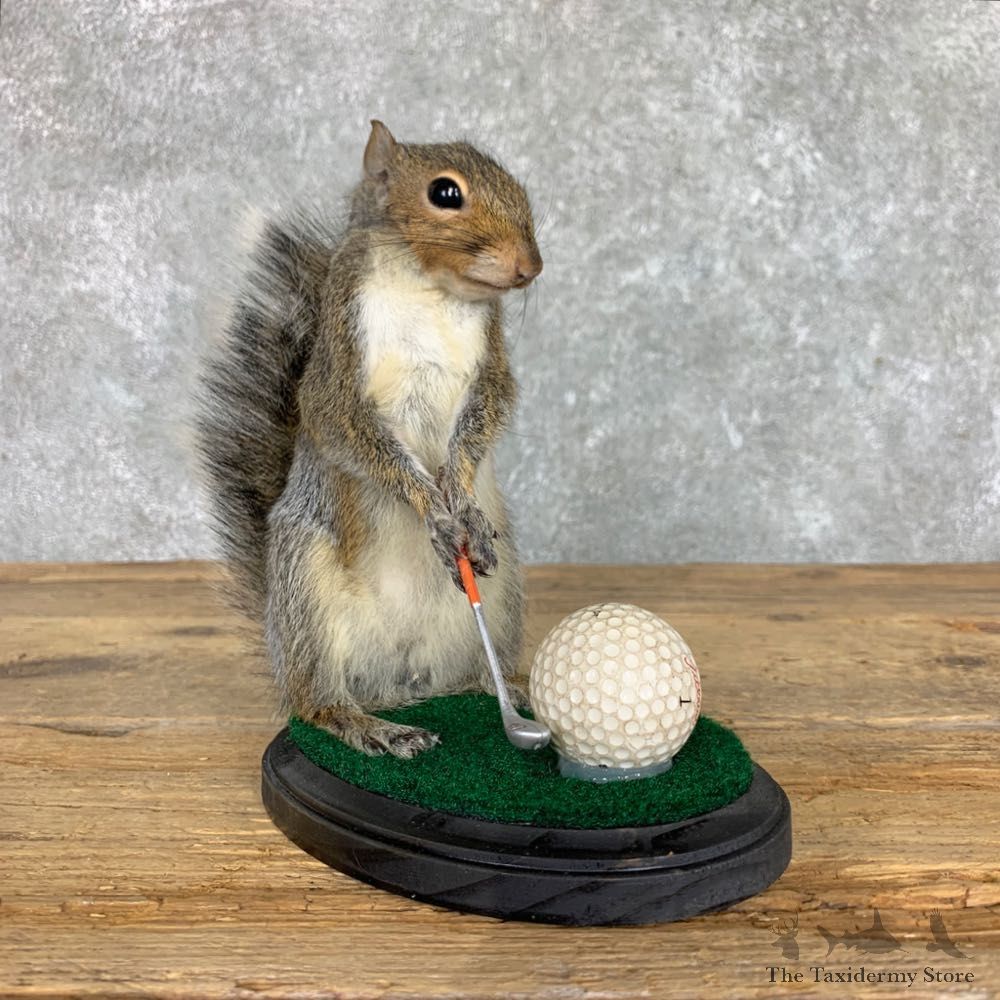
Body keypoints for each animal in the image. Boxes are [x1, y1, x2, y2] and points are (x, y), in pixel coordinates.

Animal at [196, 121, 543, 758]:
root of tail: (403, 683)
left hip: (503, 588)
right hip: (306, 587)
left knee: (477, 676)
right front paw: (435, 510)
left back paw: (513, 686)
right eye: (445, 193)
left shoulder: (492, 365)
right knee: (316, 705)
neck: (431, 288)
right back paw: (371, 727)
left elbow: (484, 415)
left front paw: (461, 503)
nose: (531, 266)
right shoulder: (337, 368)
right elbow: (349, 431)